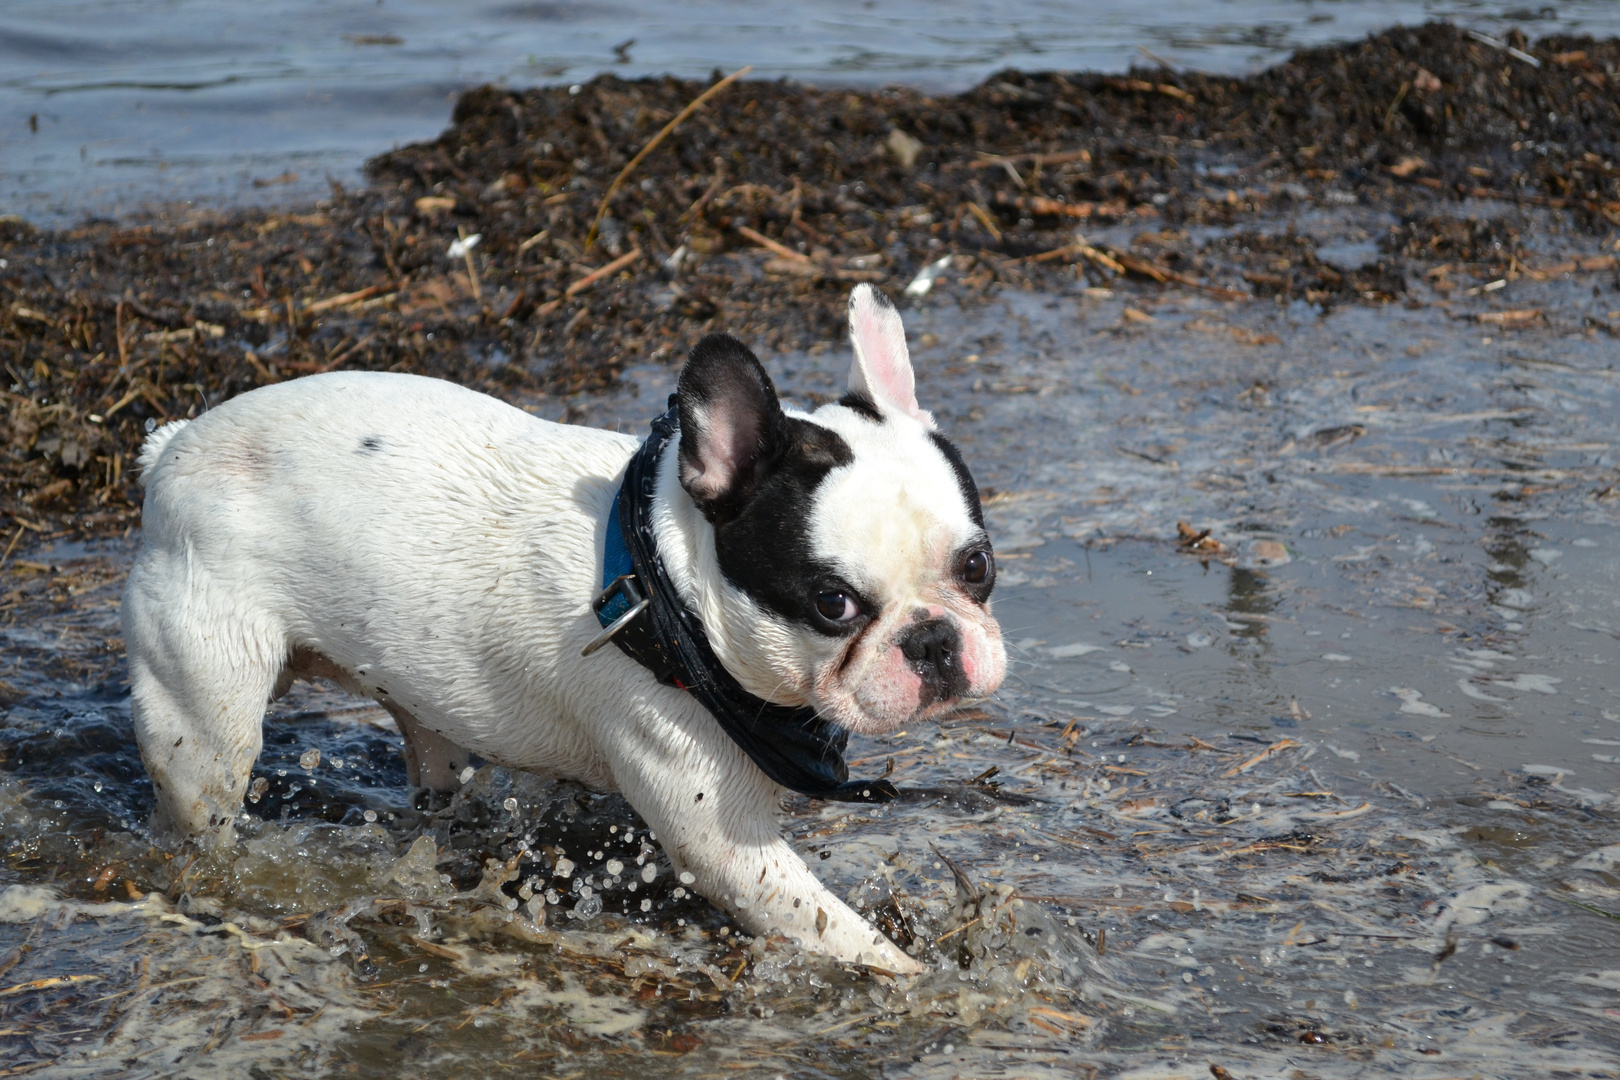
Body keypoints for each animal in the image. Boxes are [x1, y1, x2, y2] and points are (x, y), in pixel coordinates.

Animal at [126, 284, 1004, 971]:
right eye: (832, 603)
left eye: (977, 565)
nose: (933, 641)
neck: (667, 591)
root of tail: (170, 449)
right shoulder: (724, 842)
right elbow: (838, 931)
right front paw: (919, 983)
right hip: (205, 722)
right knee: (204, 806)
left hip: (422, 709)